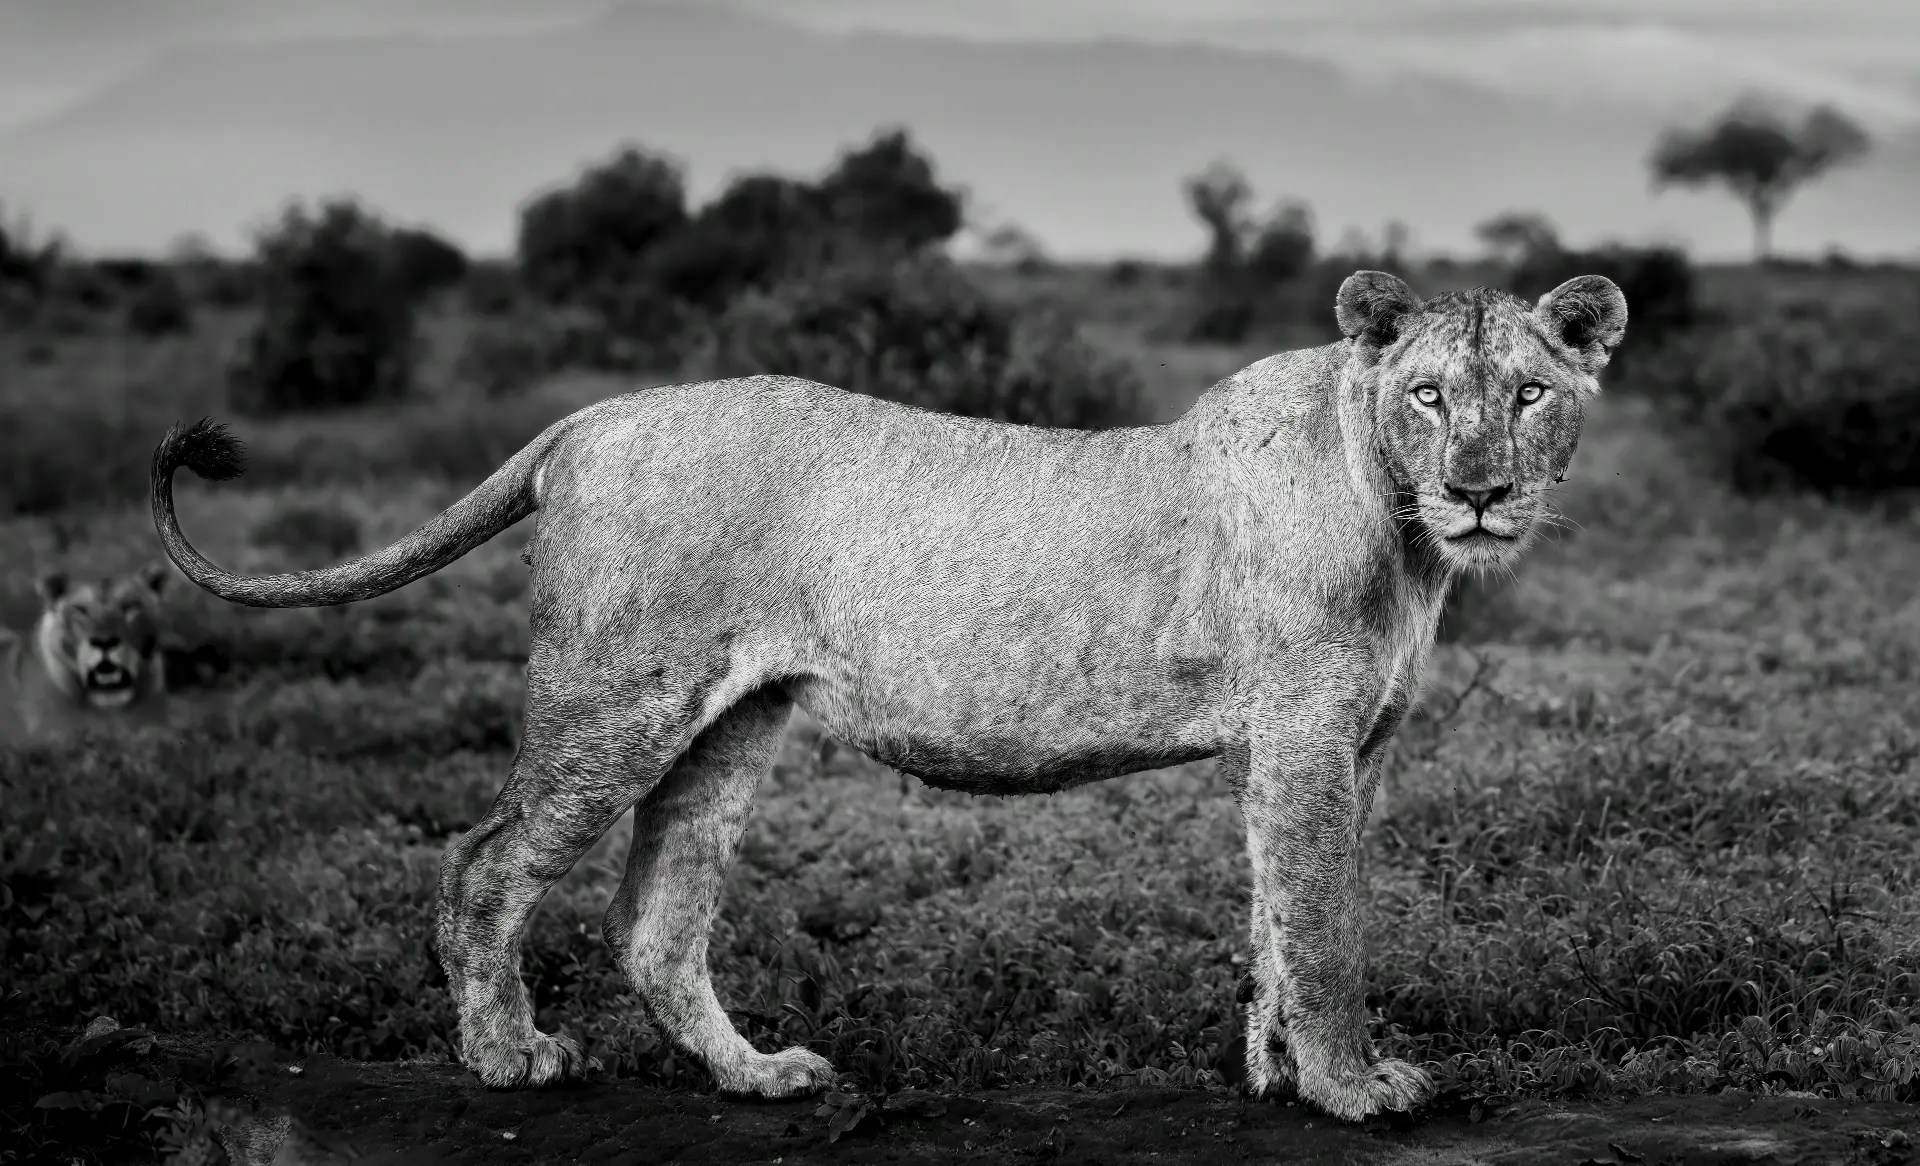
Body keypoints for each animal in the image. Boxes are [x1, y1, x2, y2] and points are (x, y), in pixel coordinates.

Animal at [149, 270, 1626, 1123]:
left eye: (1530, 394)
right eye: (1429, 394)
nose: (1481, 490)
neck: (1404, 527)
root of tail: (595, 414)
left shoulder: (1346, 745)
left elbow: (1281, 917)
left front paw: (1276, 1073)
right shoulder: (1309, 734)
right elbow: (1325, 928)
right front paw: (1351, 1085)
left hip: (730, 720)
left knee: (654, 917)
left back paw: (756, 1076)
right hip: (615, 698)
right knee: (485, 859)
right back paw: (510, 1057)